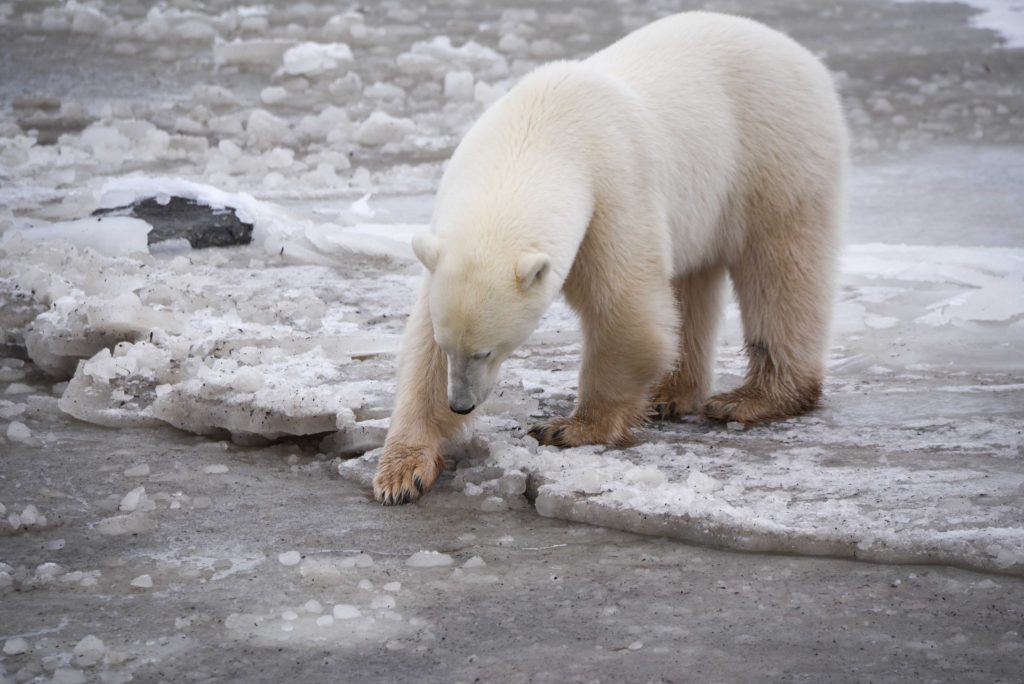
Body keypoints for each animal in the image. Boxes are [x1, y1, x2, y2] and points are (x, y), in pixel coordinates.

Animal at [373, 11, 847, 505]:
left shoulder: (614, 185)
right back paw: (669, 394)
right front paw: (402, 472)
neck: (537, 131)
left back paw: (754, 398)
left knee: (781, 267)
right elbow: (421, 344)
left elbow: (628, 312)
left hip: (773, 151)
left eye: (487, 350)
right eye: (452, 347)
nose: (462, 403)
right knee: (691, 283)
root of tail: (796, 51)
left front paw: (569, 428)